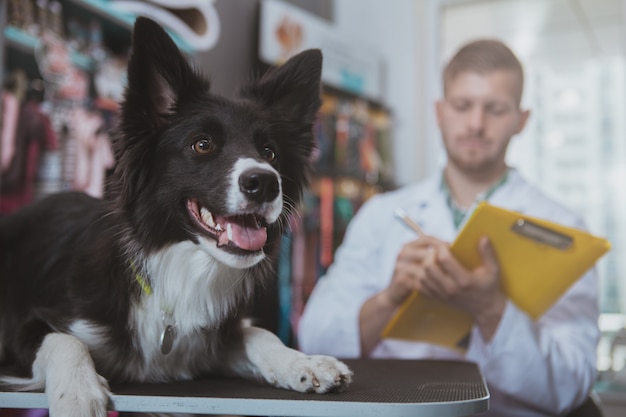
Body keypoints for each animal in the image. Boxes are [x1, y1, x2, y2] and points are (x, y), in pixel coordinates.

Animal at [0, 17, 352, 416]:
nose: (265, 183)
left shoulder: (209, 340)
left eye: (270, 152)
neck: (178, 269)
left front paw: (303, 362)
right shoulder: (26, 326)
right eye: (202, 144)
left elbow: (257, 332)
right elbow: (62, 340)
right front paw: (77, 393)